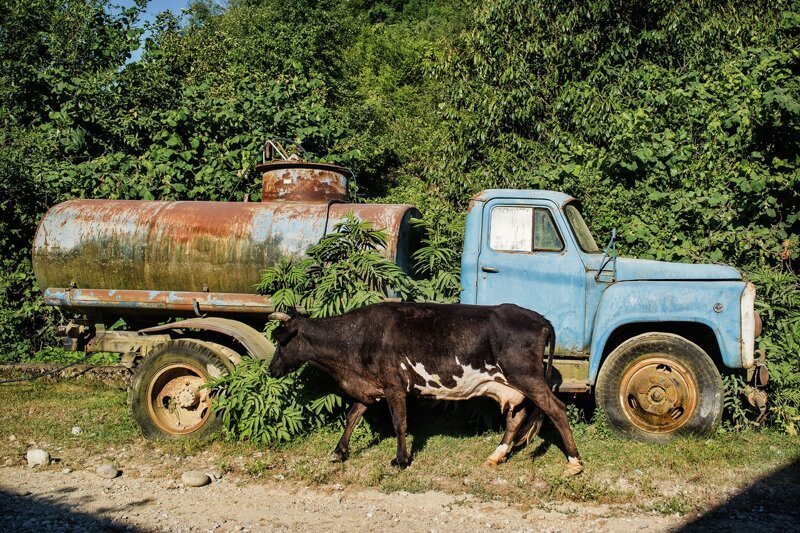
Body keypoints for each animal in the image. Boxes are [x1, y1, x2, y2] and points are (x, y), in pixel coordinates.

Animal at [268, 302, 580, 476]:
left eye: (281, 342)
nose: (271, 369)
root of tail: (540, 319)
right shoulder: (371, 386)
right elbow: (352, 416)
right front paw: (338, 451)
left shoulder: (394, 385)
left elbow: (400, 424)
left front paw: (400, 460)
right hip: (511, 384)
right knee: (516, 418)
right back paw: (495, 456)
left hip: (526, 376)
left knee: (556, 409)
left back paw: (574, 462)